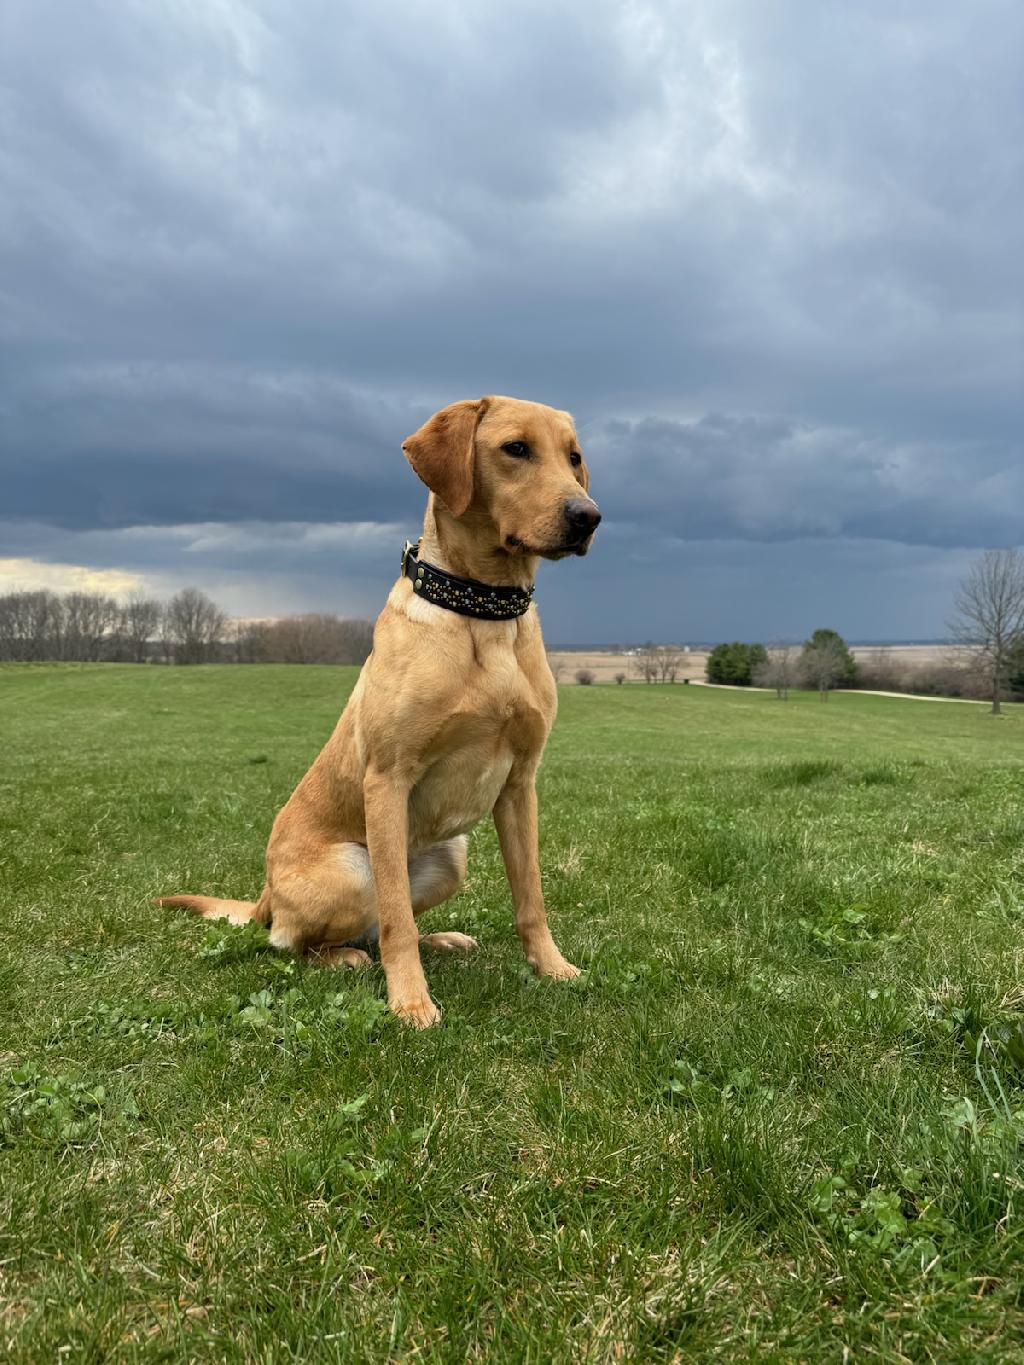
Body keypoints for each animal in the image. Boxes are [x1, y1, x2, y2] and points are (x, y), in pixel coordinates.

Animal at [160, 395, 600, 1026]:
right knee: (303, 939)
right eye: (515, 448)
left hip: (452, 855)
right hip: (350, 868)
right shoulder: (388, 780)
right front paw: (410, 1001)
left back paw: (441, 939)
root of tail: (264, 893)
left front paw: (553, 967)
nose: (588, 516)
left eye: (574, 457)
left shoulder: (520, 784)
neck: (484, 613)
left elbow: (530, 896)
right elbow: (395, 918)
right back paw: (343, 957)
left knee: (387, 923)